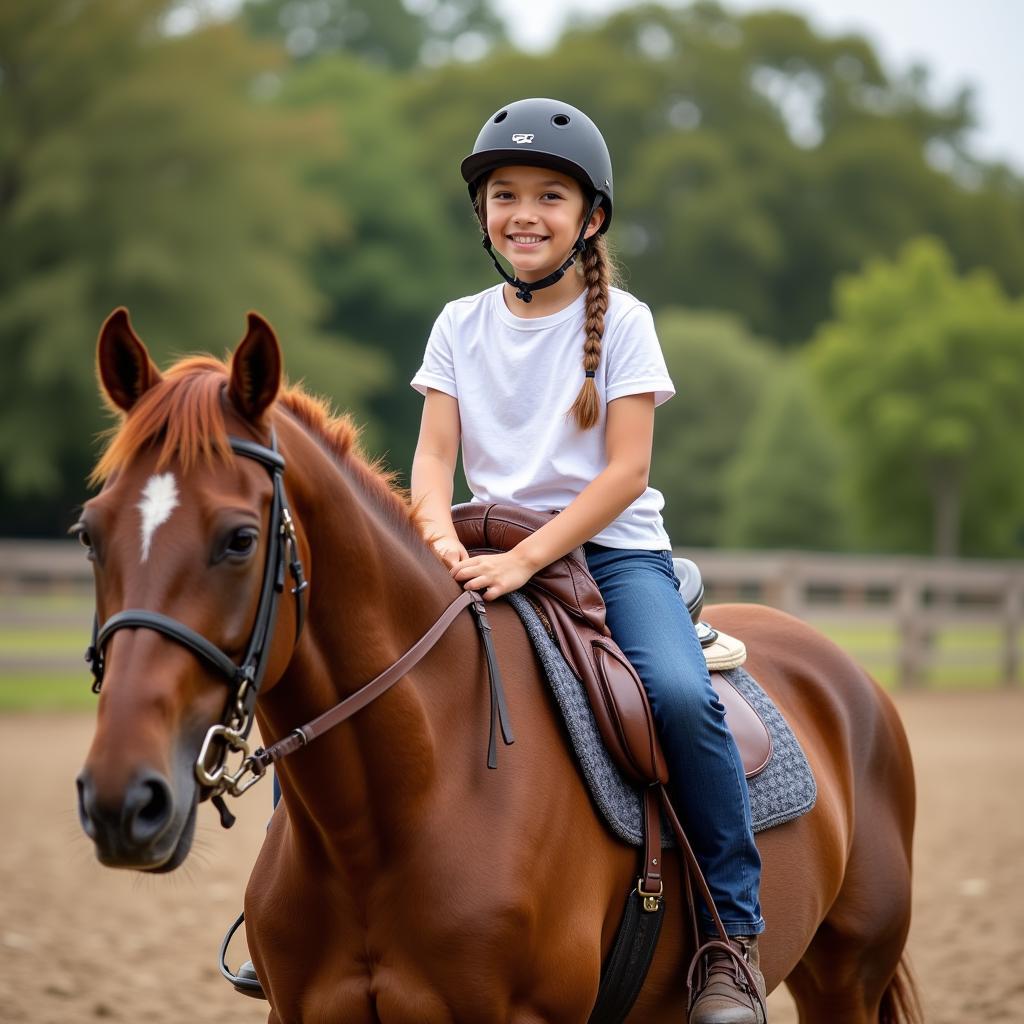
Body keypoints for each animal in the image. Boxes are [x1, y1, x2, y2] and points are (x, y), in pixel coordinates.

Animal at [74, 309, 921, 1024]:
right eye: (90, 532)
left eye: (240, 539)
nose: (123, 800)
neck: (396, 808)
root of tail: (846, 677)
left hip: (847, 977)